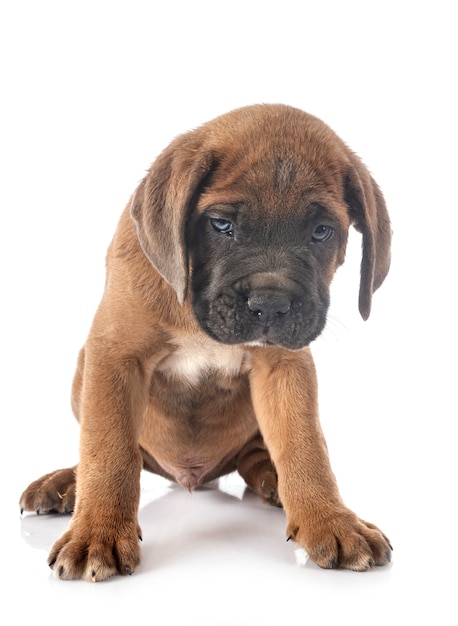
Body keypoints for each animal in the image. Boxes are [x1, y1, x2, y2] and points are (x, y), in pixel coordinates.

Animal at [19, 103, 392, 580]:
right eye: (222, 224)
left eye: (322, 232)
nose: (270, 304)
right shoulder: (115, 354)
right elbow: (108, 448)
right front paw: (97, 532)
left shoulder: (284, 365)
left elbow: (304, 444)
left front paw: (330, 519)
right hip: (83, 373)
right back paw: (66, 482)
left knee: (257, 454)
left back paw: (273, 480)